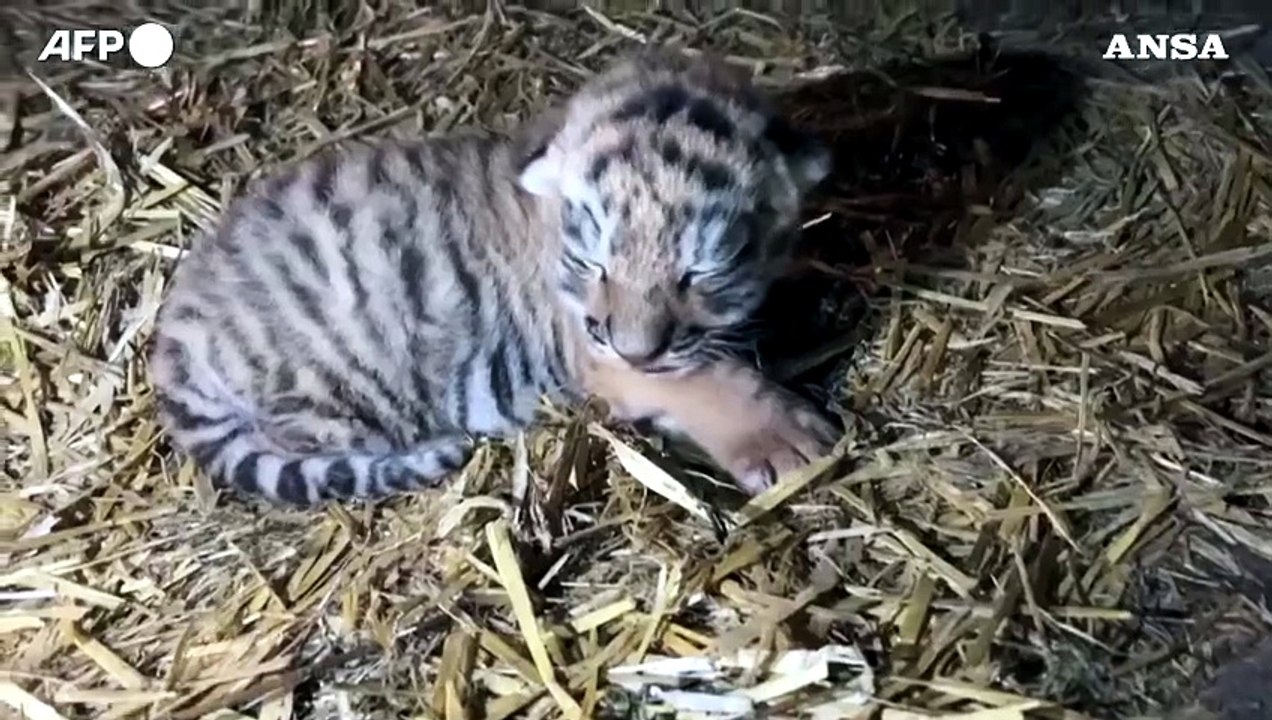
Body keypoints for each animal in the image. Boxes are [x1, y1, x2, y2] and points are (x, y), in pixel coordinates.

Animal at [148, 48, 839, 506]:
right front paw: (792, 443)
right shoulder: (598, 354)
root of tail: (173, 336)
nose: (636, 349)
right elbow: (707, 381)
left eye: (700, 271)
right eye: (596, 264)